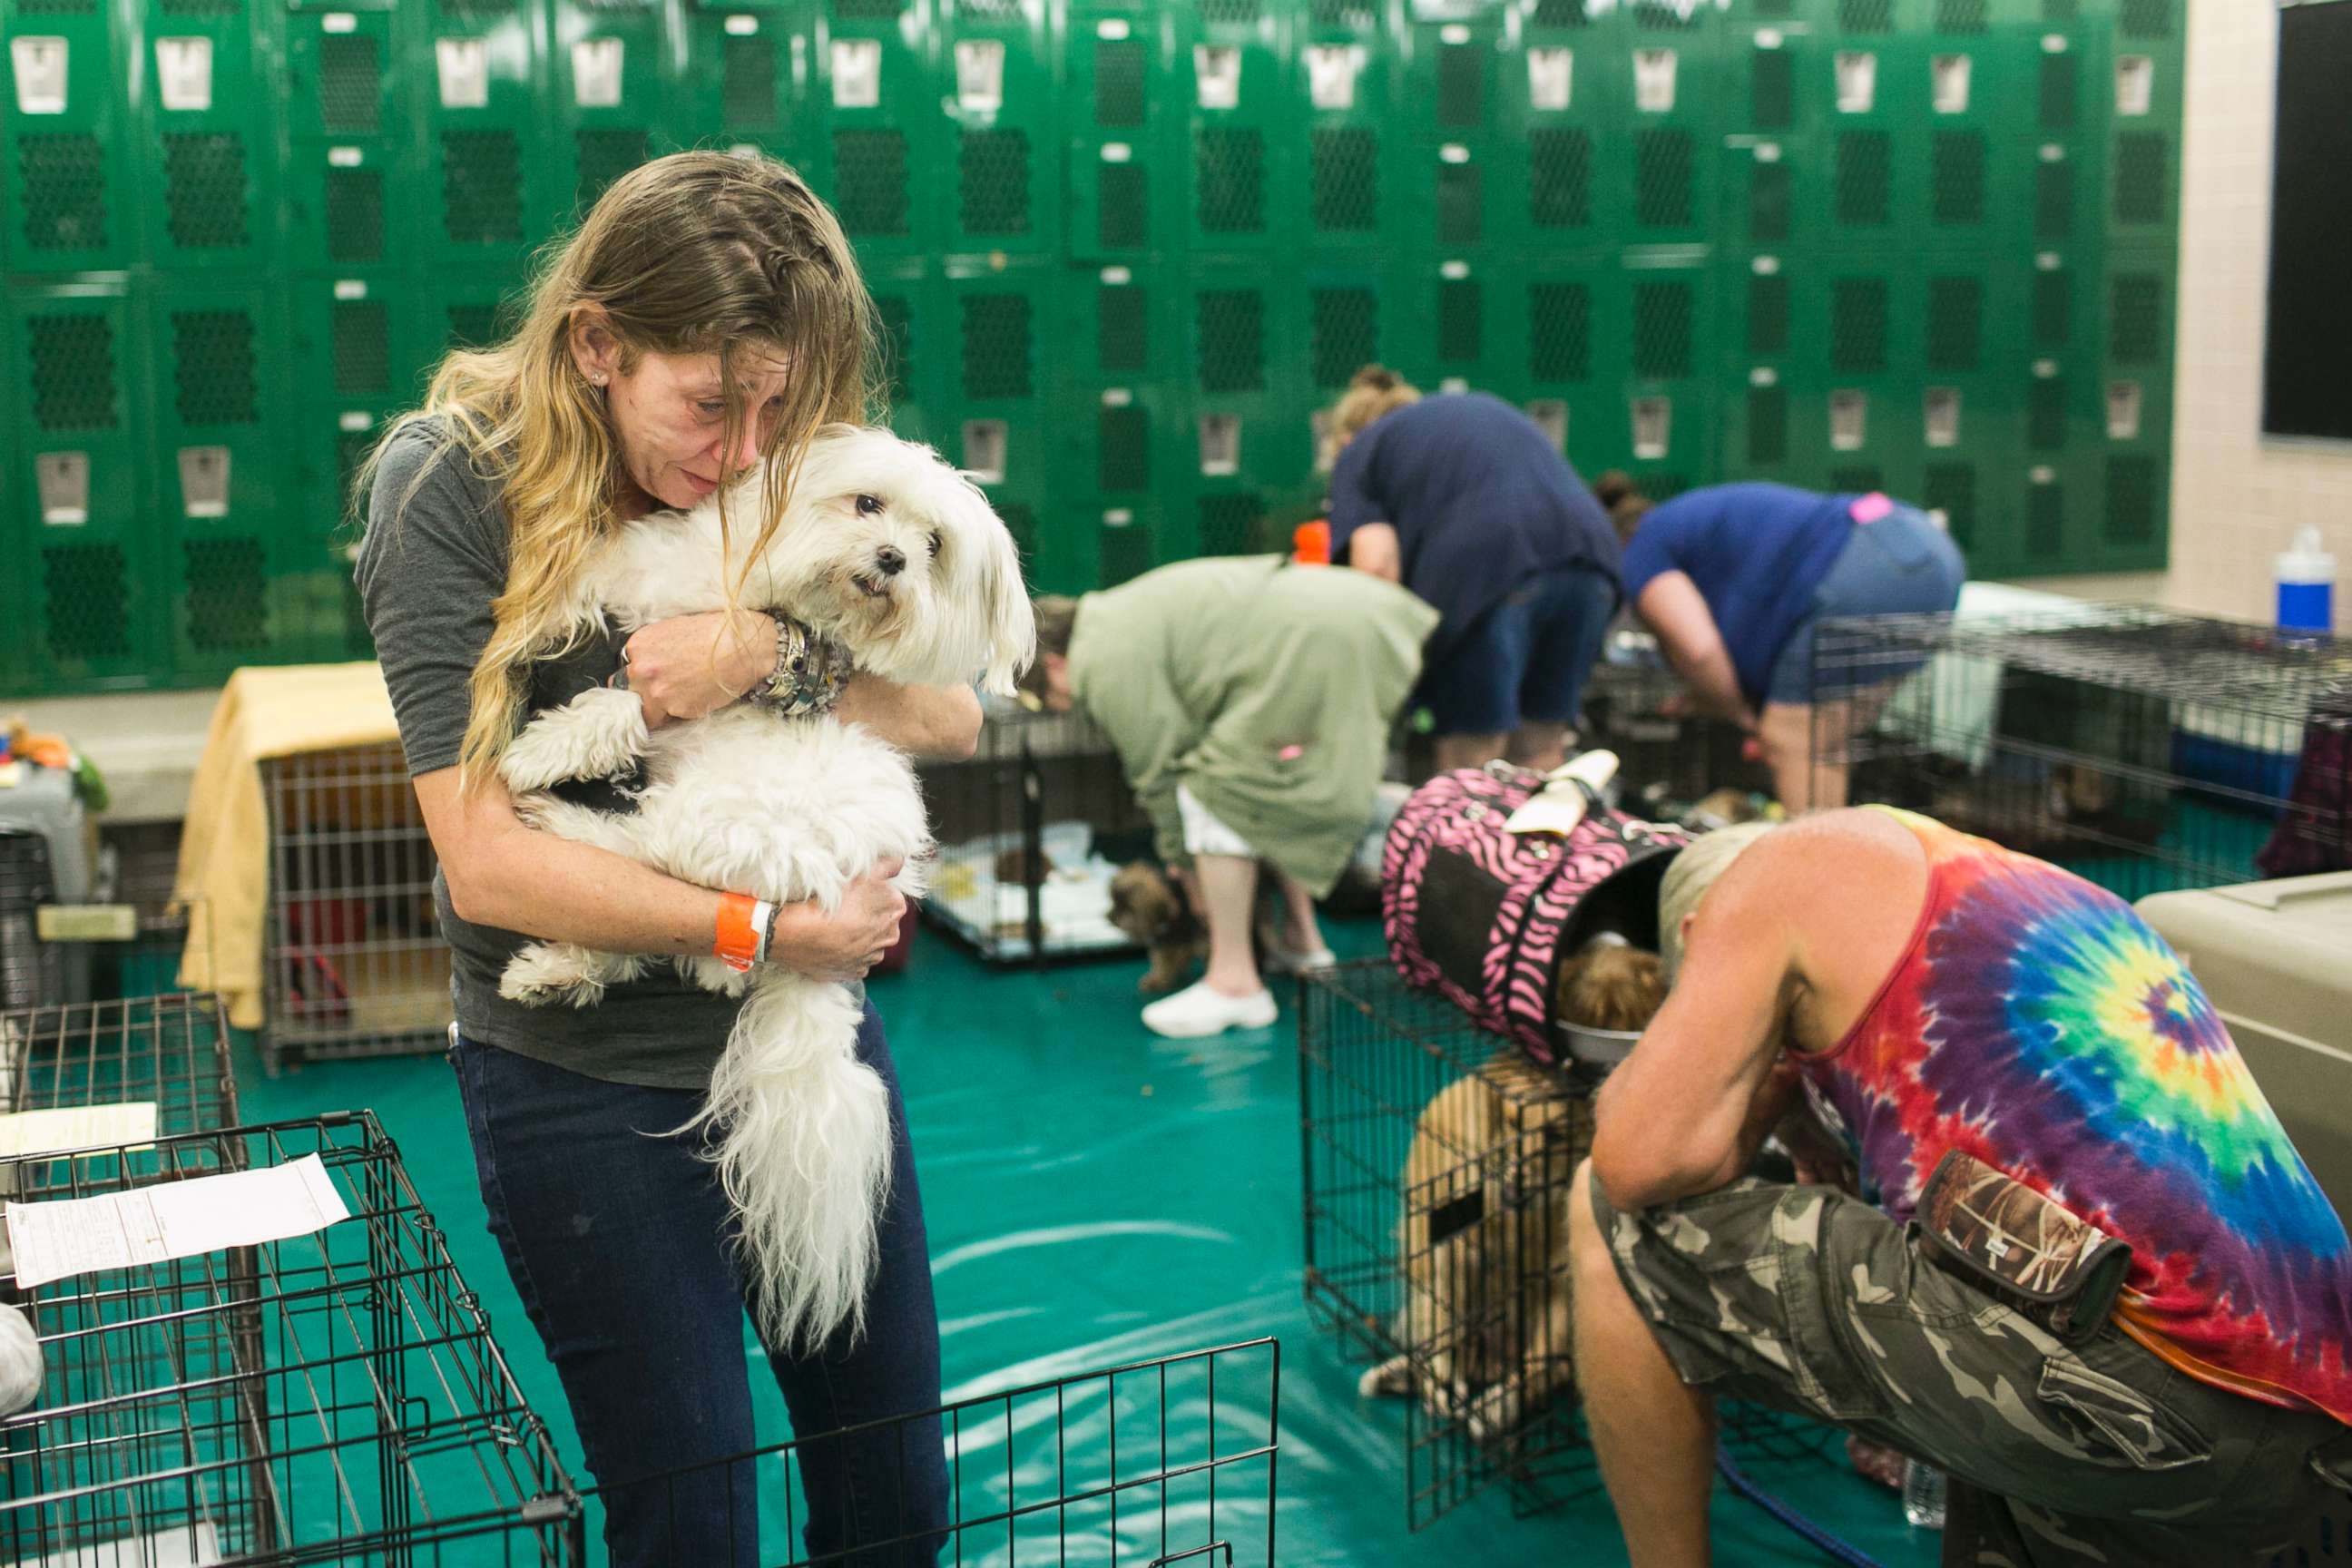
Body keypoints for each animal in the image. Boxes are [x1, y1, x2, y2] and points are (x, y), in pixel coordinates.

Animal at [494, 425, 1030, 1354]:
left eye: (935, 546)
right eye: (867, 504)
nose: (893, 558)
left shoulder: (679, 637)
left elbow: (616, 682)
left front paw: (544, 738)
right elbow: (594, 571)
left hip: (707, 819)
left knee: (640, 871)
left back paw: (553, 824)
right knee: (690, 953)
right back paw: (555, 973)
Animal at [1354, 945, 1665, 1447]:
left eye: (1556, 1136)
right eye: (1514, 1124)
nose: (1516, 1174)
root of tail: (1492, 1356)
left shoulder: (1556, 1271)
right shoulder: (1451, 1247)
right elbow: (1446, 1321)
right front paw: (1441, 1377)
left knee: (1537, 1371)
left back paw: (1497, 1405)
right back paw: (1415, 1375)